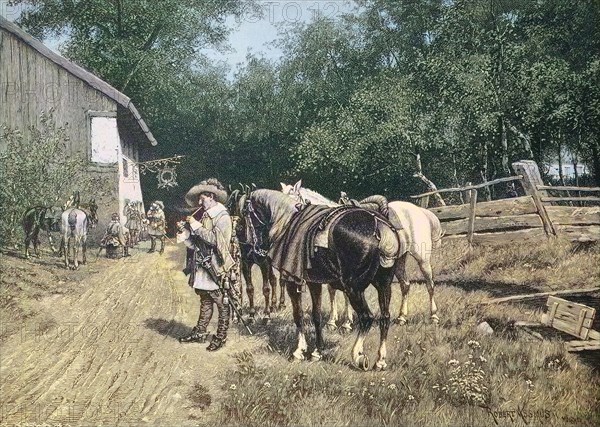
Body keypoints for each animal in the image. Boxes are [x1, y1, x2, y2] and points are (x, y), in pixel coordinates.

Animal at [229, 187, 288, 320]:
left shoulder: (264, 263)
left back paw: (281, 304)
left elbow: (266, 288)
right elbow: (250, 289)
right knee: (273, 279)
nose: (237, 230)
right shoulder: (246, 263)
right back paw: (273, 305)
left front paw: (266, 316)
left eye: (245, 210)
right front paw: (251, 315)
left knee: (281, 280)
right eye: (231, 208)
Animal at [244, 191, 398, 372]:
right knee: (385, 318)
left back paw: (358, 355)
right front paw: (317, 351)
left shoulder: (291, 282)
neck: (287, 221)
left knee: (366, 317)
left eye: (247, 214)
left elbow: (298, 315)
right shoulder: (314, 283)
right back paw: (380, 360)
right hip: (383, 285)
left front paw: (299, 351)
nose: (254, 249)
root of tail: (377, 224)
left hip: (354, 288)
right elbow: (316, 316)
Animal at [278, 181, 442, 328]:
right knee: (405, 285)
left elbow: (342, 293)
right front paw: (332, 321)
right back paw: (402, 318)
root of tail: (421, 211)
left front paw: (346, 322)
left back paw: (434, 316)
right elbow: (332, 291)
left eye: (291, 198)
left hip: (422, 259)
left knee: (430, 284)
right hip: (399, 260)